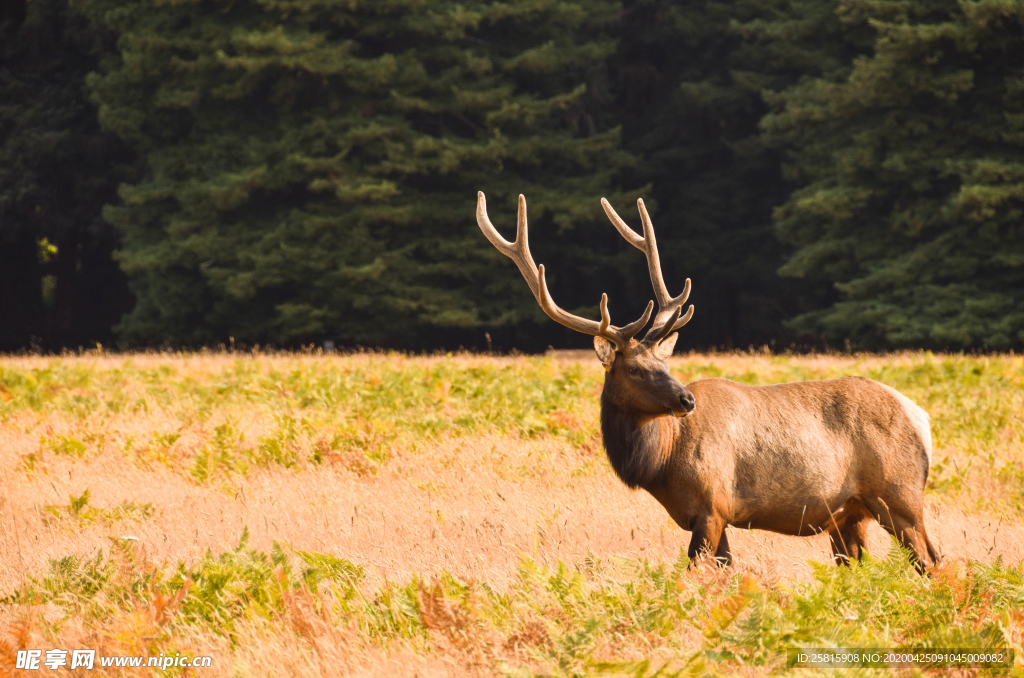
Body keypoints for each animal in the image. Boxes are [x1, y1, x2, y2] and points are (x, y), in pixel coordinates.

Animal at [475, 191, 937, 573]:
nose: (686, 400)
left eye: (664, 361)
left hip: (899, 494)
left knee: (931, 560)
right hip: (849, 514)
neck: (662, 463)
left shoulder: (713, 505)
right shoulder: (711, 517)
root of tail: (921, 418)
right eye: (635, 368)